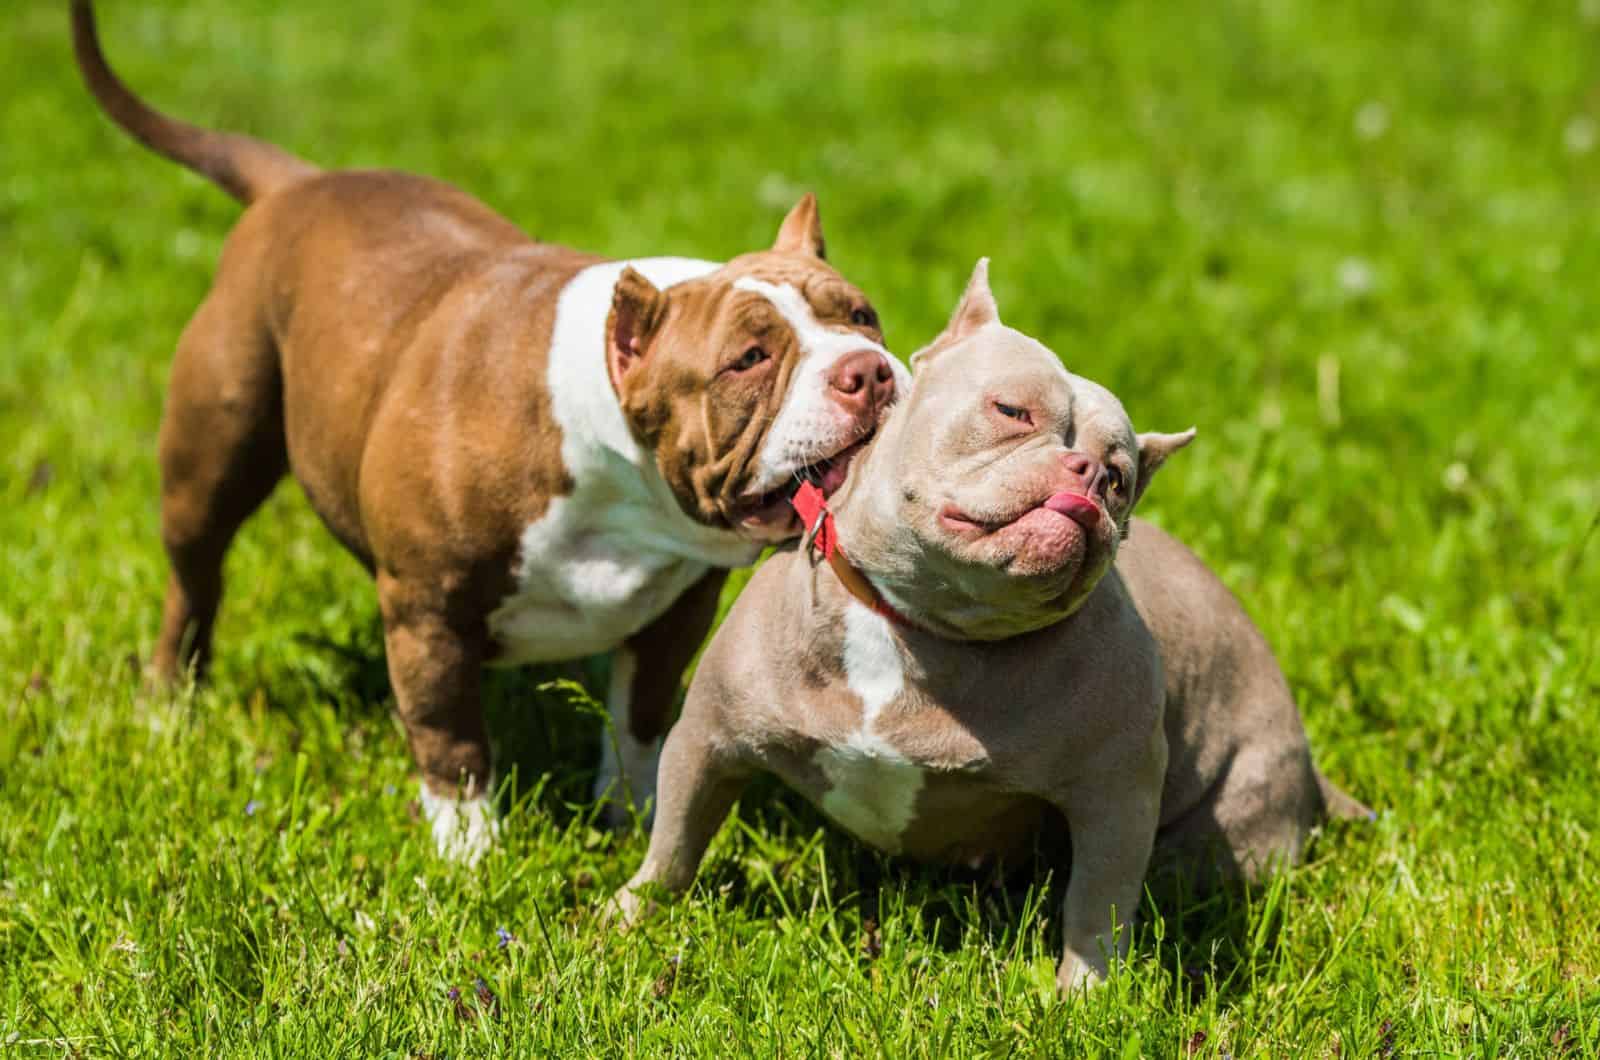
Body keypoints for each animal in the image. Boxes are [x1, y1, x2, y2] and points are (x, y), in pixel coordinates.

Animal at [75, 0, 908, 864]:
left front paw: (632, 815)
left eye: (863, 315)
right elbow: (450, 736)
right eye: (748, 359)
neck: (618, 477)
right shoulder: (427, 611)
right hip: (213, 453)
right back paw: (171, 702)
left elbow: (641, 723)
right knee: (196, 577)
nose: (869, 372)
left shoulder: (675, 613)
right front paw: (468, 848)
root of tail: (298, 185)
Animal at [604, 260, 1369, 992]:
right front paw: (632, 913)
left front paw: (1084, 996)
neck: (919, 622)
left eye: (1121, 478)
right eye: (1011, 411)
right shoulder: (707, 737)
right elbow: (675, 839)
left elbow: (1097, 905)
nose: (1088, 474)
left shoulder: (1116, 795)